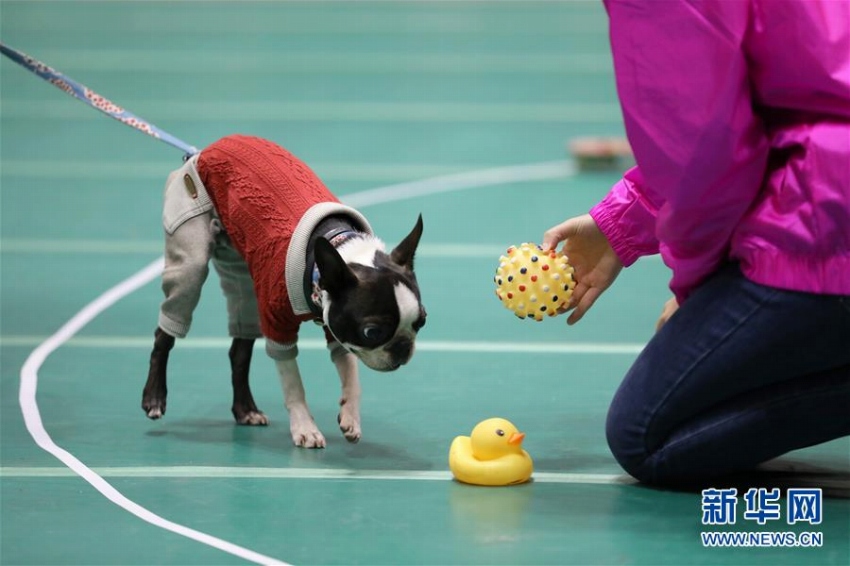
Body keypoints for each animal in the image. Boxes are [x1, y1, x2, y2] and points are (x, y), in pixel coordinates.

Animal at [143, 135, 430, 450]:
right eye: (372, 332)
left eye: (422, 322)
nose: (403, 347)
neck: (337, 246)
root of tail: (208, 149)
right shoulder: (279, 327)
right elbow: (294, 384)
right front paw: (305, 427)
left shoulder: (334, 324)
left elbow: (351, 374)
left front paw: (350, 416)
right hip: (190, 251)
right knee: (166, 330)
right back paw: (154, 396)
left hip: (245, 277)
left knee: (239, 348)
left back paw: (245, 409)